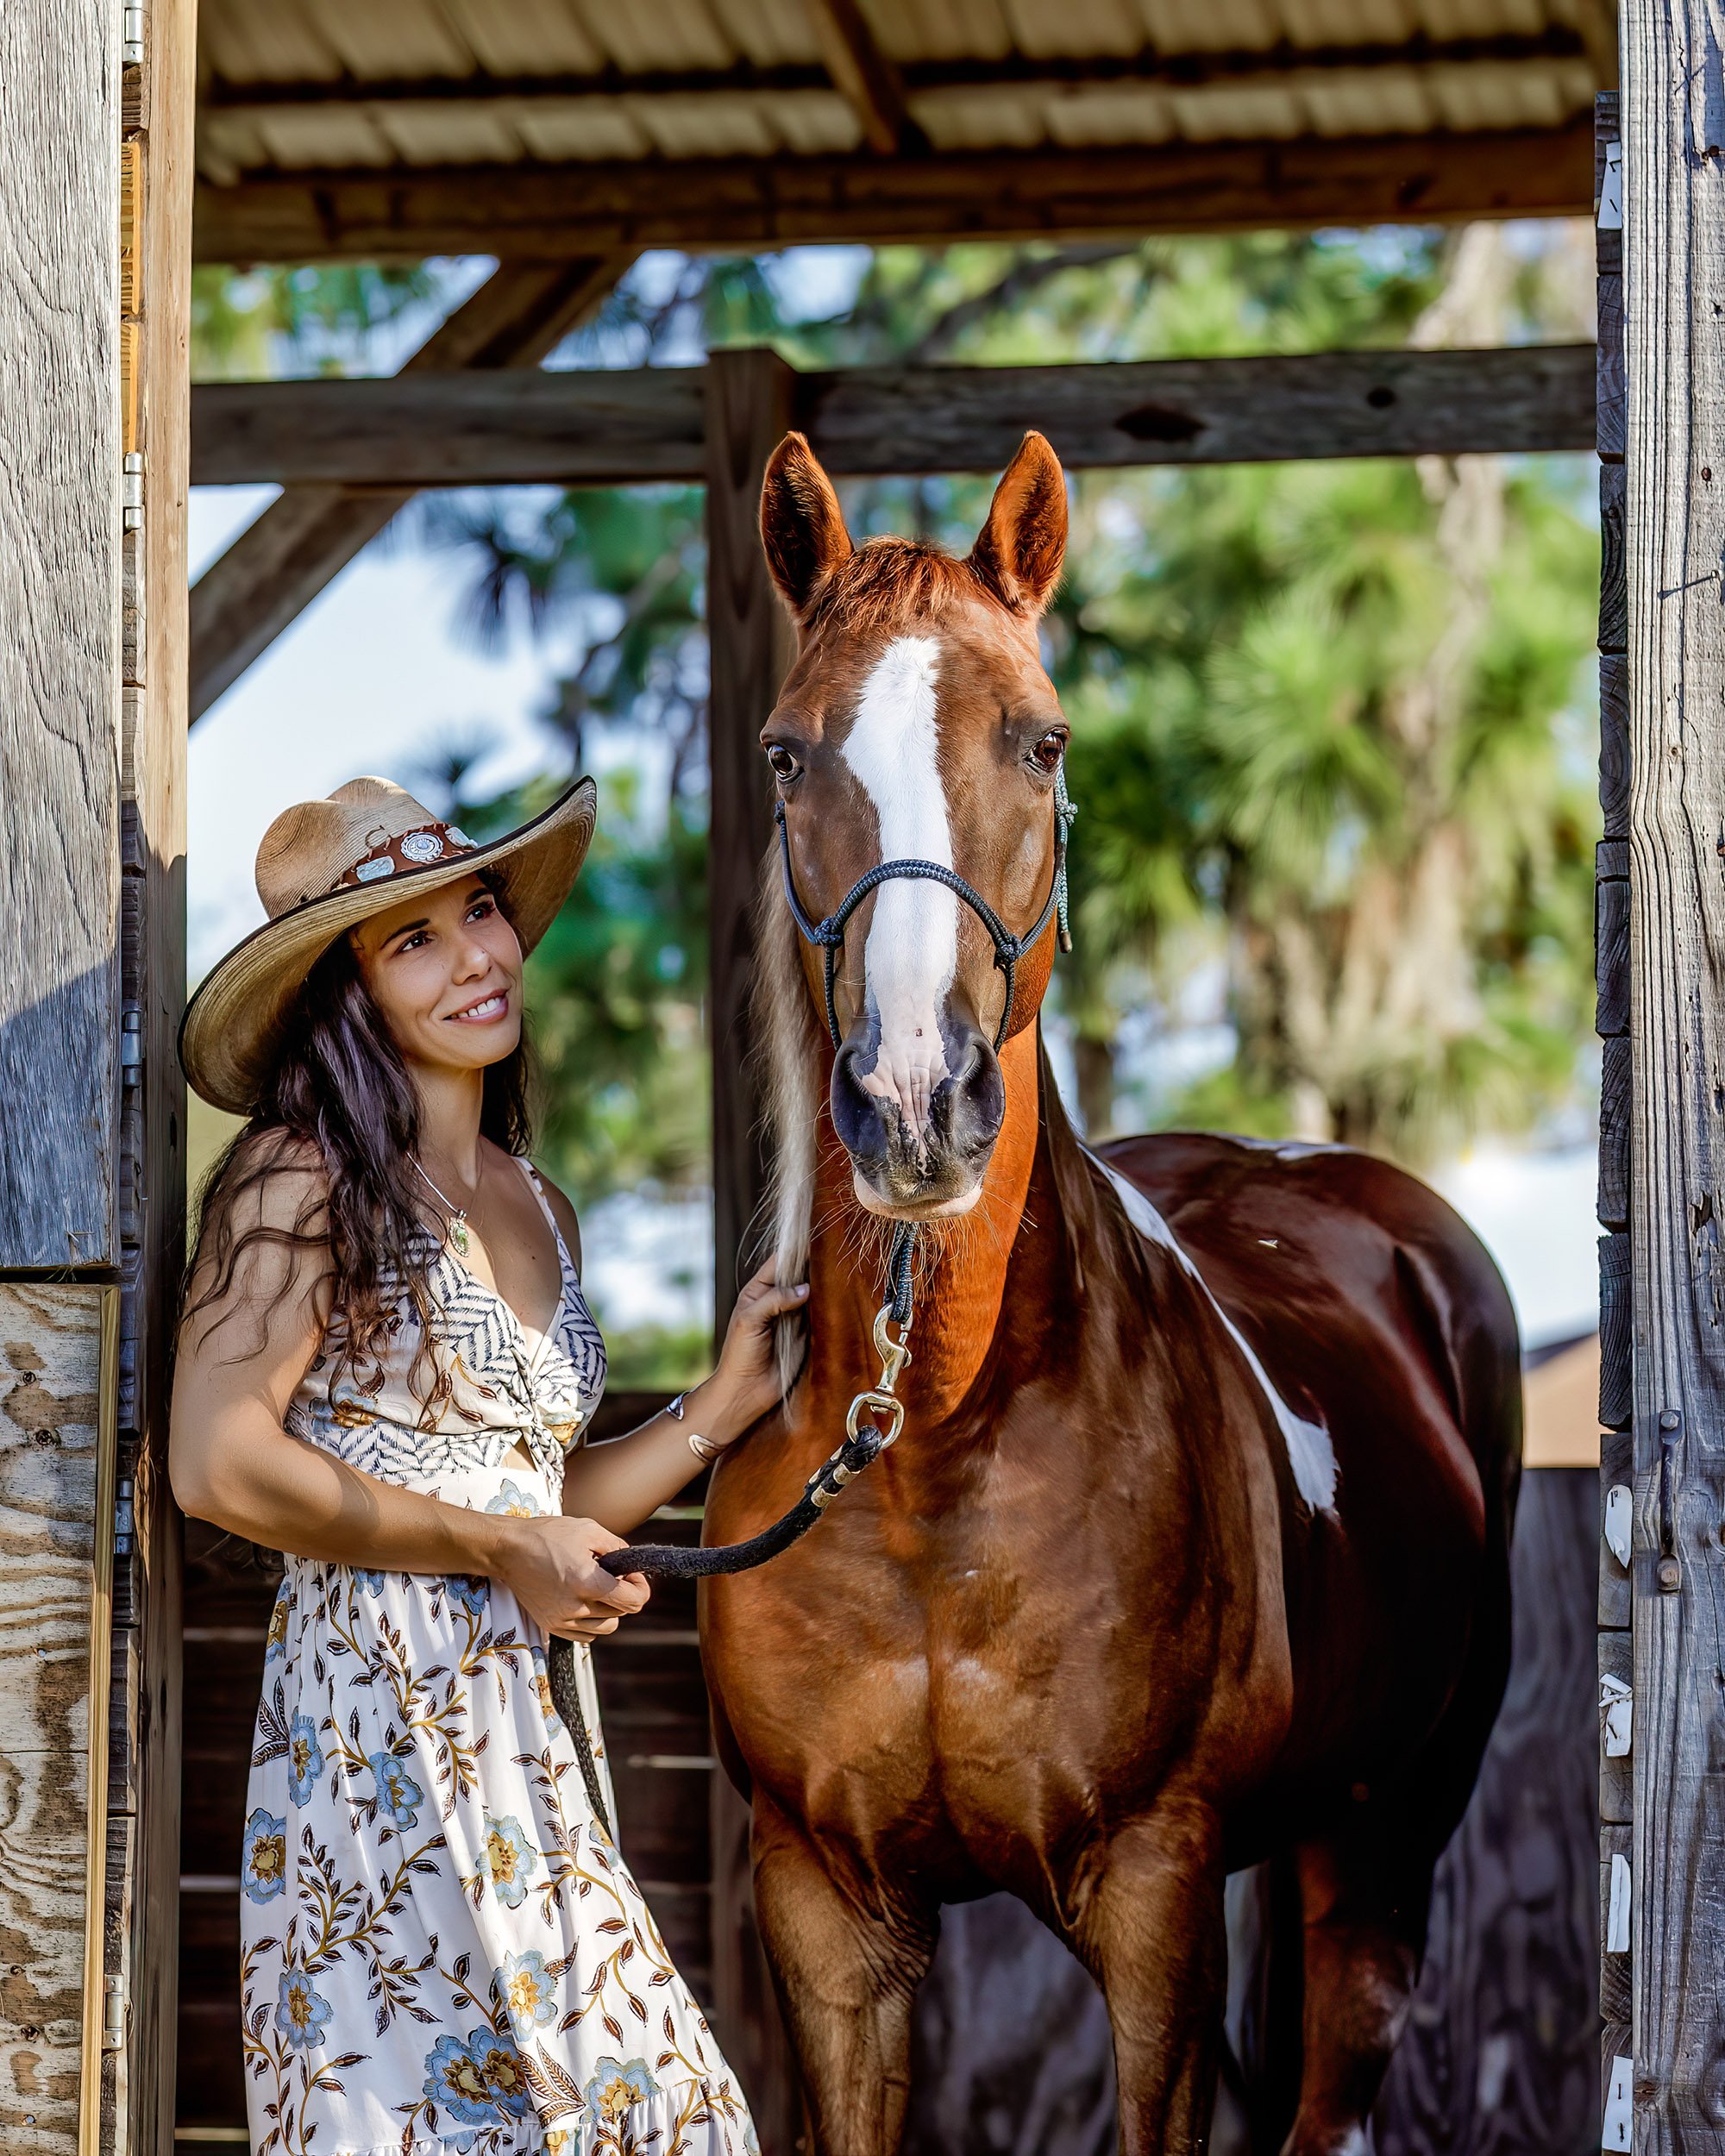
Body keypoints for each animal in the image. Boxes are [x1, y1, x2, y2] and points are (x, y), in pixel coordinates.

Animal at [698, 428, 1521, 2156]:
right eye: (788, 755)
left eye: (1044, 737)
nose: (916, 1105)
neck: (934, 1448)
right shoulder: (827, 1913)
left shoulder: (1154, 1899)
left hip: (1378, 1862)